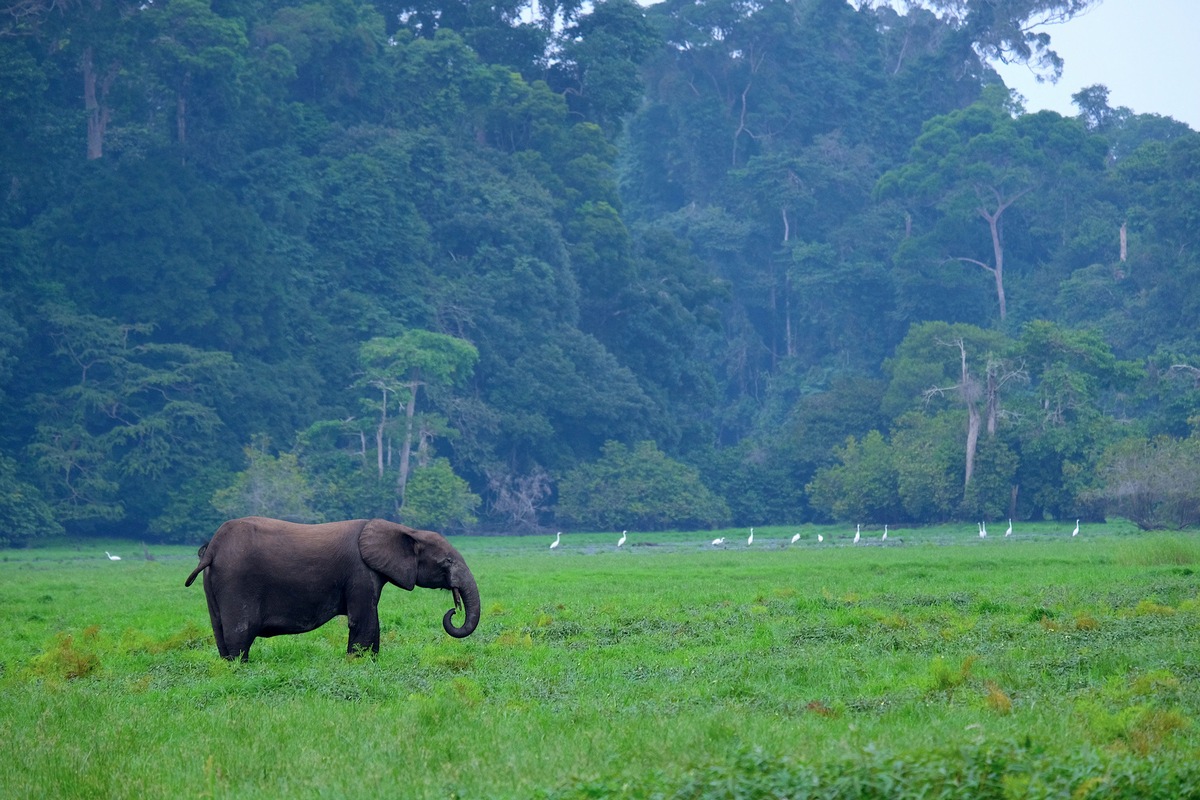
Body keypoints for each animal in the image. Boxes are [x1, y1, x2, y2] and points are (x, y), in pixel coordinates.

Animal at [182, 515, 477, 662]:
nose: (453, 610)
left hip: (213, 582)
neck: (406, 530)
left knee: (221, 633)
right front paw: (358, 663)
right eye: (447, 561)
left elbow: (372, 622)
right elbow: (364, 621)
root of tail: (213, 547)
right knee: (240, 634)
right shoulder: (359, 572)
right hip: (237, 581)